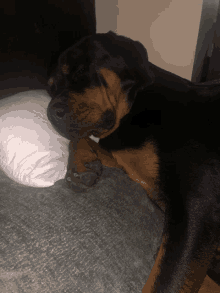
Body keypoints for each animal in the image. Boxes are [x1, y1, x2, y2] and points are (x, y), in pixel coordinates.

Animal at [46, 30, 220, 290]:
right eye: (51, 88)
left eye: (80, 72)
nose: (50, 112)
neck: (135, 107)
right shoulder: (125, 156)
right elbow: (81, 139)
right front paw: (81, 165)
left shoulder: (196, 213)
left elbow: (164, 282)